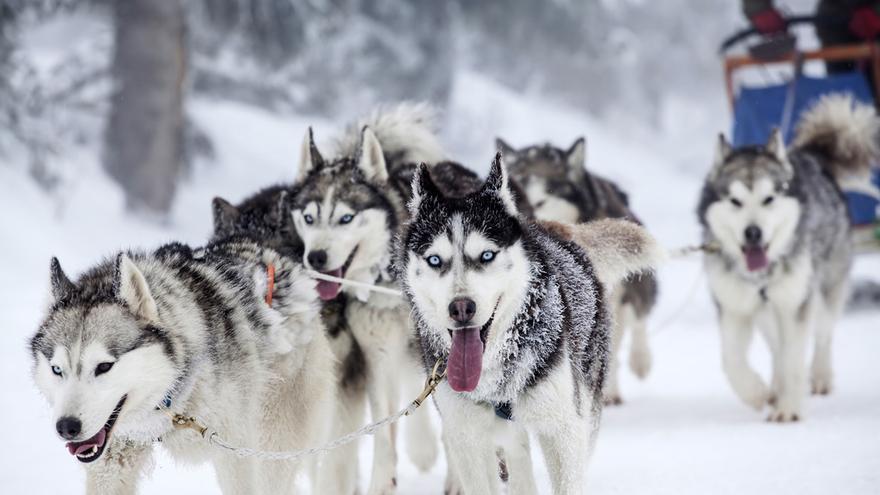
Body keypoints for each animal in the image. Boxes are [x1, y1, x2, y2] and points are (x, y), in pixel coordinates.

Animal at [30, 238, 334, 494]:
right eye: (57, 369)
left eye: (104, 366)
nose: (66, 427)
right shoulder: (113, 460)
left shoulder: (235, 452)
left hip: (272, 442)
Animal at [290, 103, 446, 492]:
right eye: (309, 217)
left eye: (346, 218)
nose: (316, 257)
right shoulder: (378, 357)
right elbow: (384, 434)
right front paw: (381, 482)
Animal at [696, 96, 876, 422]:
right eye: (735, 201)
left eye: (769, 199)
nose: (753, 233)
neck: (761, 277)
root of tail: (813, 158)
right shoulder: (734, 308)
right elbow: (731, 360)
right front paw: (757, 393)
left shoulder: (795, 306)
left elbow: (794, 359)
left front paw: (789, 410)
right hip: (767, 314)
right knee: (776, 349)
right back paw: (776, 385)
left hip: (822, 292)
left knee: (823, 335)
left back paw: (819, 377)